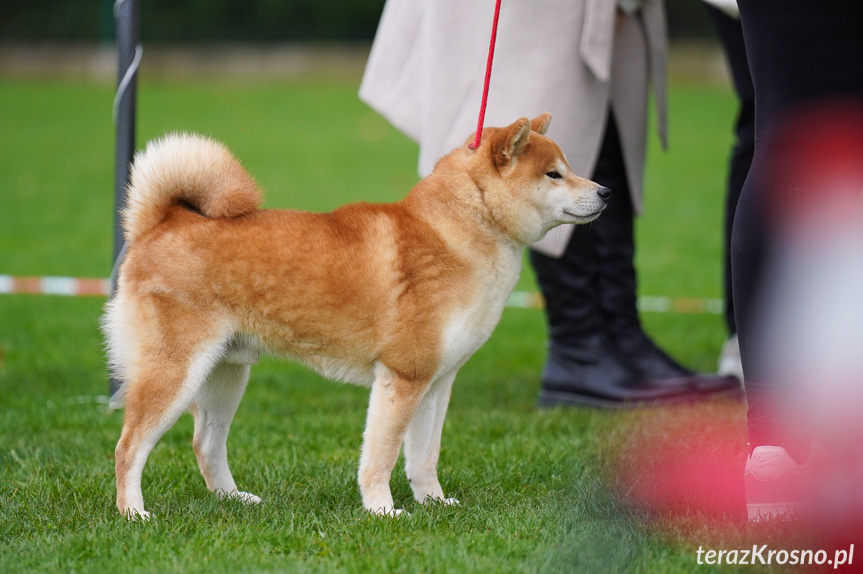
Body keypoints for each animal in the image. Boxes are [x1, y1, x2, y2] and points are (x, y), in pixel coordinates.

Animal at [104, 115, 612, 520]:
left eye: (569, 168)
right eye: (555, 173)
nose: (606, 191)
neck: (459, 234)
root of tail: (163, 222)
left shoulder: (436, 383)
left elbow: (424, 457)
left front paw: (434, 503)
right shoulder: (403, 377)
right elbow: (381, 458)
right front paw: (383, 511)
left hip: (226, 373)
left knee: (205, 444)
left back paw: (233, 499)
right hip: (176, 371)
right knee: (128, 447)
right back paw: (134, 514)